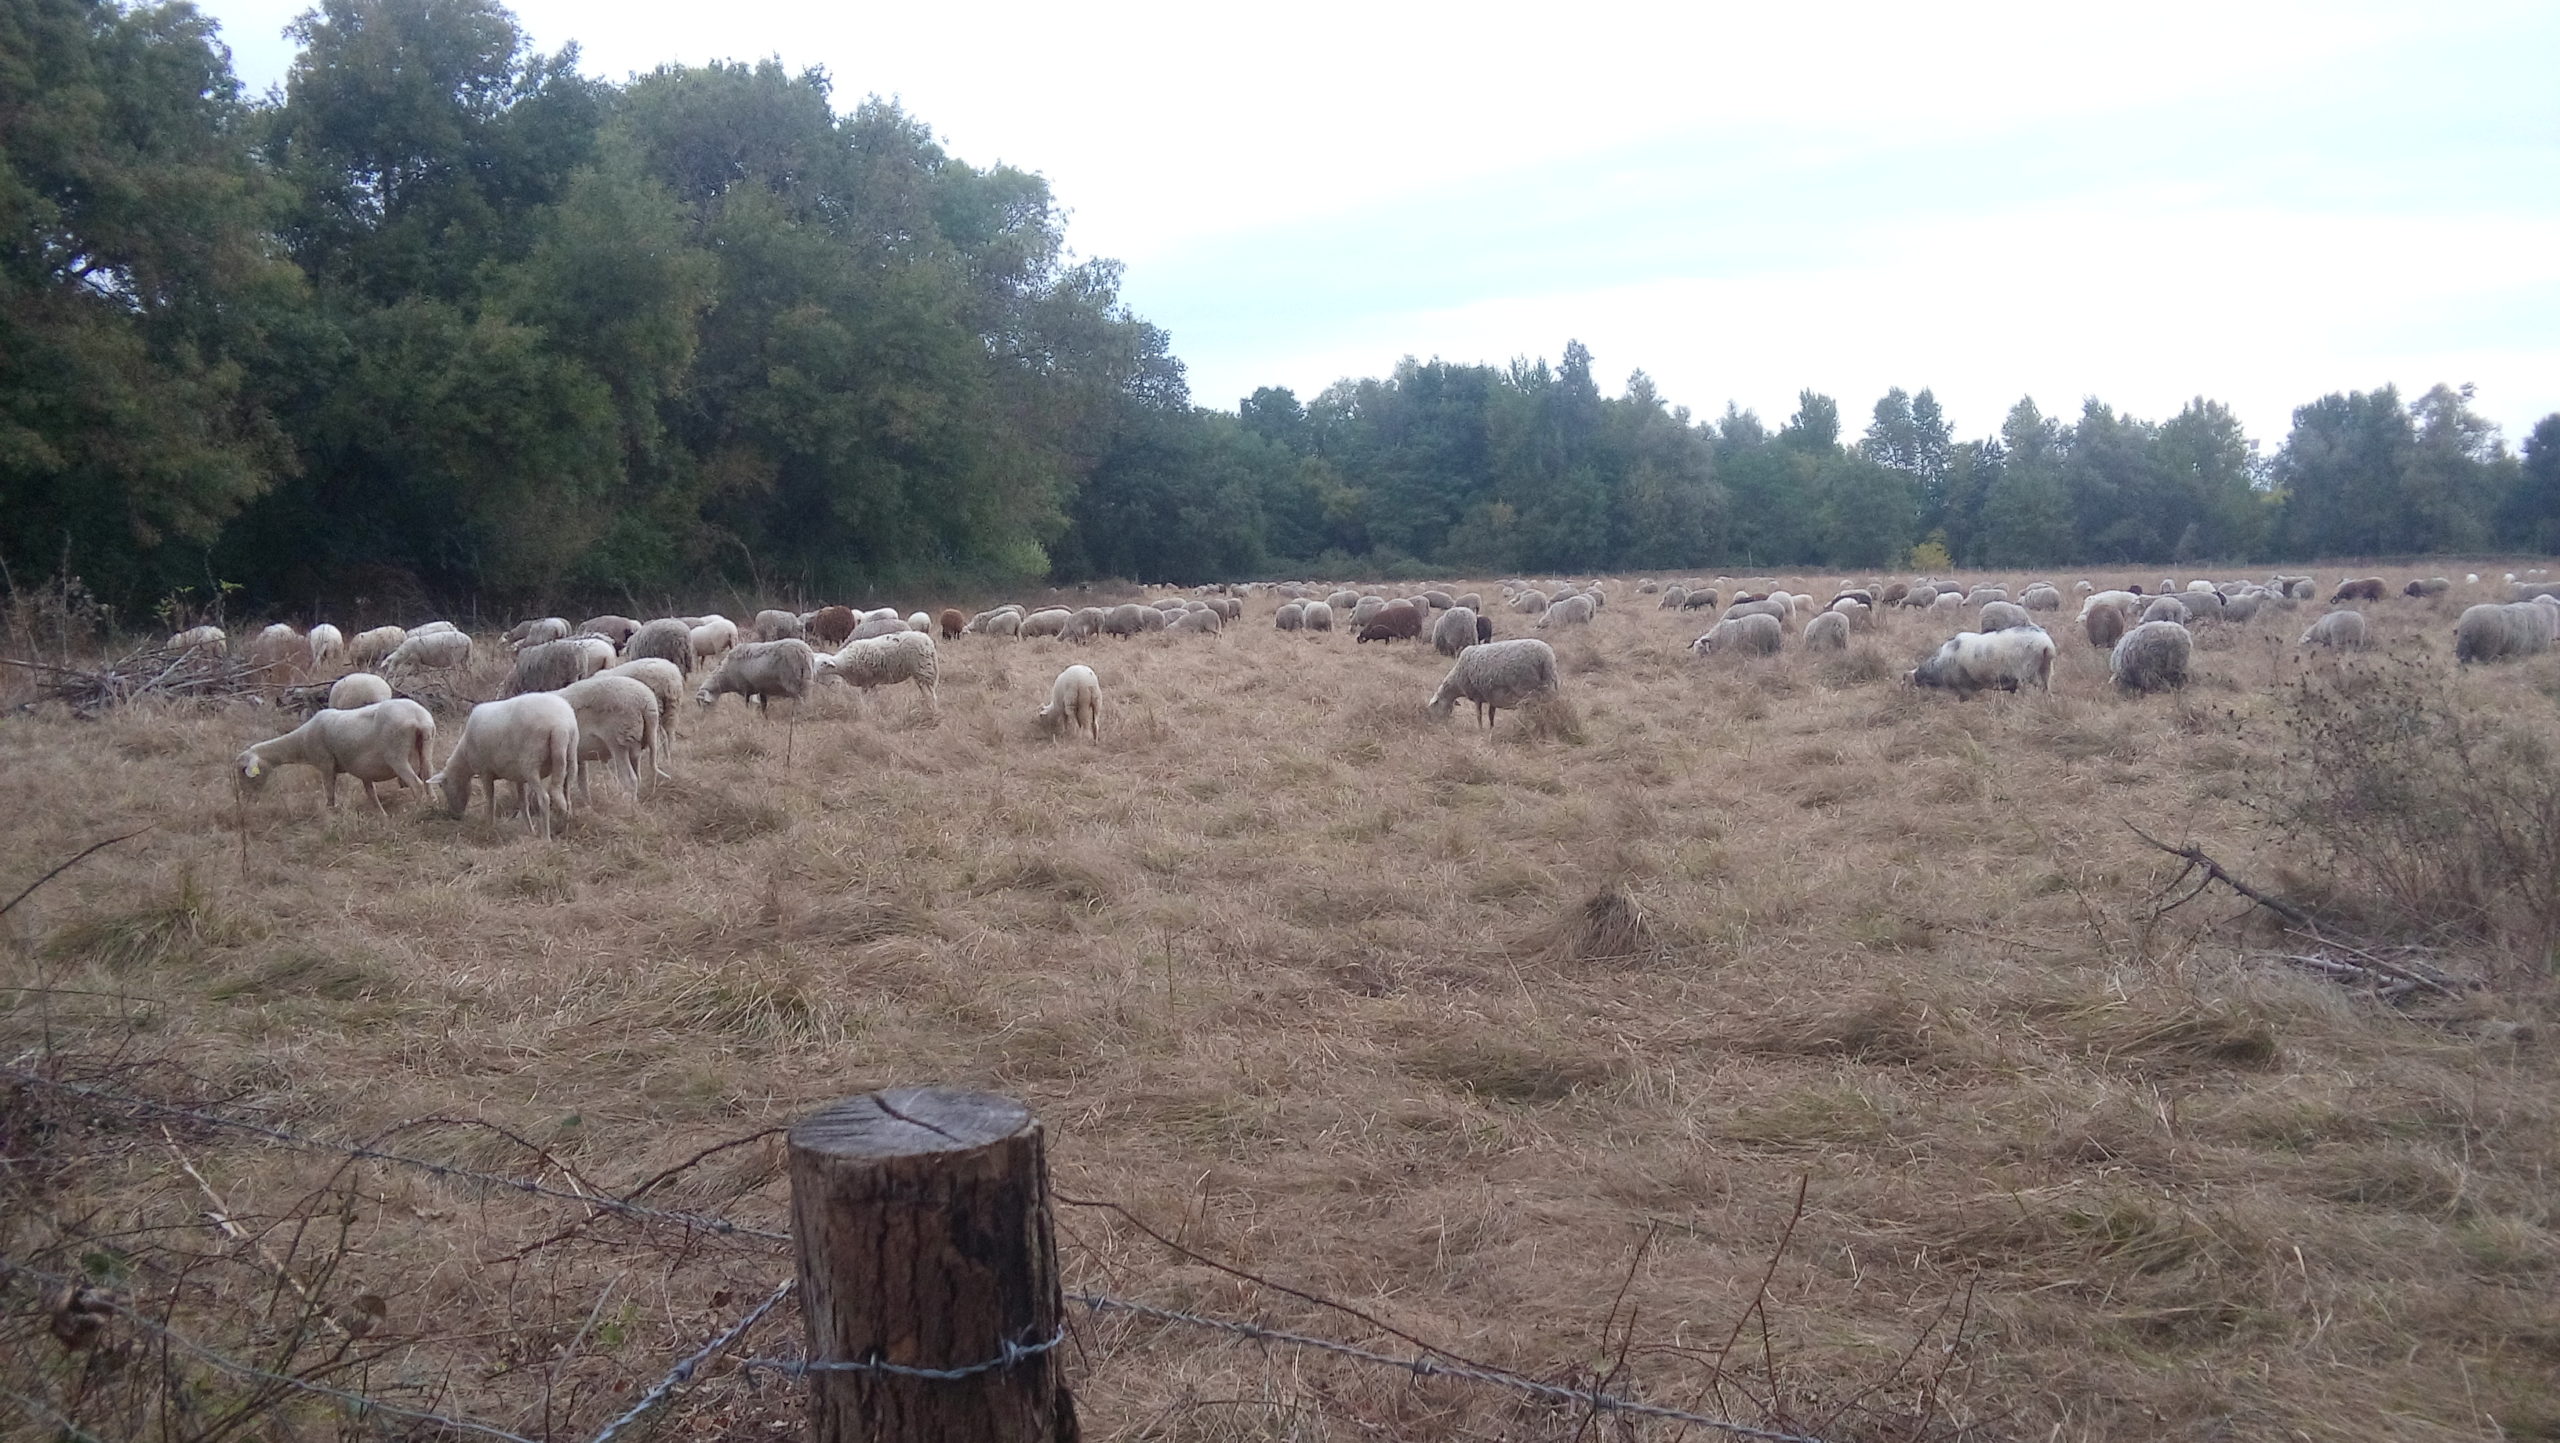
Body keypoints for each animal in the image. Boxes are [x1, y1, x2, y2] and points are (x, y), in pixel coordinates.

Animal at [237, 699, 436, 812]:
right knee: (428, 777)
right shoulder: (363, 770)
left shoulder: (325, 763)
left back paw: (417, 812)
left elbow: (330, 794)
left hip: (396, 755)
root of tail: (419, 718)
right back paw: (432, 805)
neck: (302, 741)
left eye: (243, 770)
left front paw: (331, 814)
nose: (246, 798)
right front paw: (382, 817)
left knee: (416, 784)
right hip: (426, 747)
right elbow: (371, 794)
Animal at [432, 693, 577, 838]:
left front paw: (489, 826)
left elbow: (490, 801)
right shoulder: (519, 778)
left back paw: (546, 837)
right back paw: (565, 828)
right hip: (570, 757)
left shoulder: (485, 772)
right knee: (568, 798)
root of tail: (560, 726)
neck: (464, 757)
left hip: (531, 765)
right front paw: (530, 830)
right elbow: (523, 804)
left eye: (441, 786)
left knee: (544, 799)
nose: (454, 816)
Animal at [558, 673, 661, 803]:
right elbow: (580, 782)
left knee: (630, 780)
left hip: (618, 741)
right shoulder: (577, 757)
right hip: (636, 743)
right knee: (637, 776)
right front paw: (587, 804)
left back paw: (628, 805)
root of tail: (647, 702)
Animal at [1426, 639, 1560, 730]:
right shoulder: (1492, 697)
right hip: (1549, 686)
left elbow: (1479, 715)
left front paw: (1480, 729)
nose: (1440, 725)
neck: (1457, 680)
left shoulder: (1477, 696)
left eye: (1434, 707)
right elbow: (1491, 715)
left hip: (1528, 691)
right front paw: (1491, 728)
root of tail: (1546, 658)